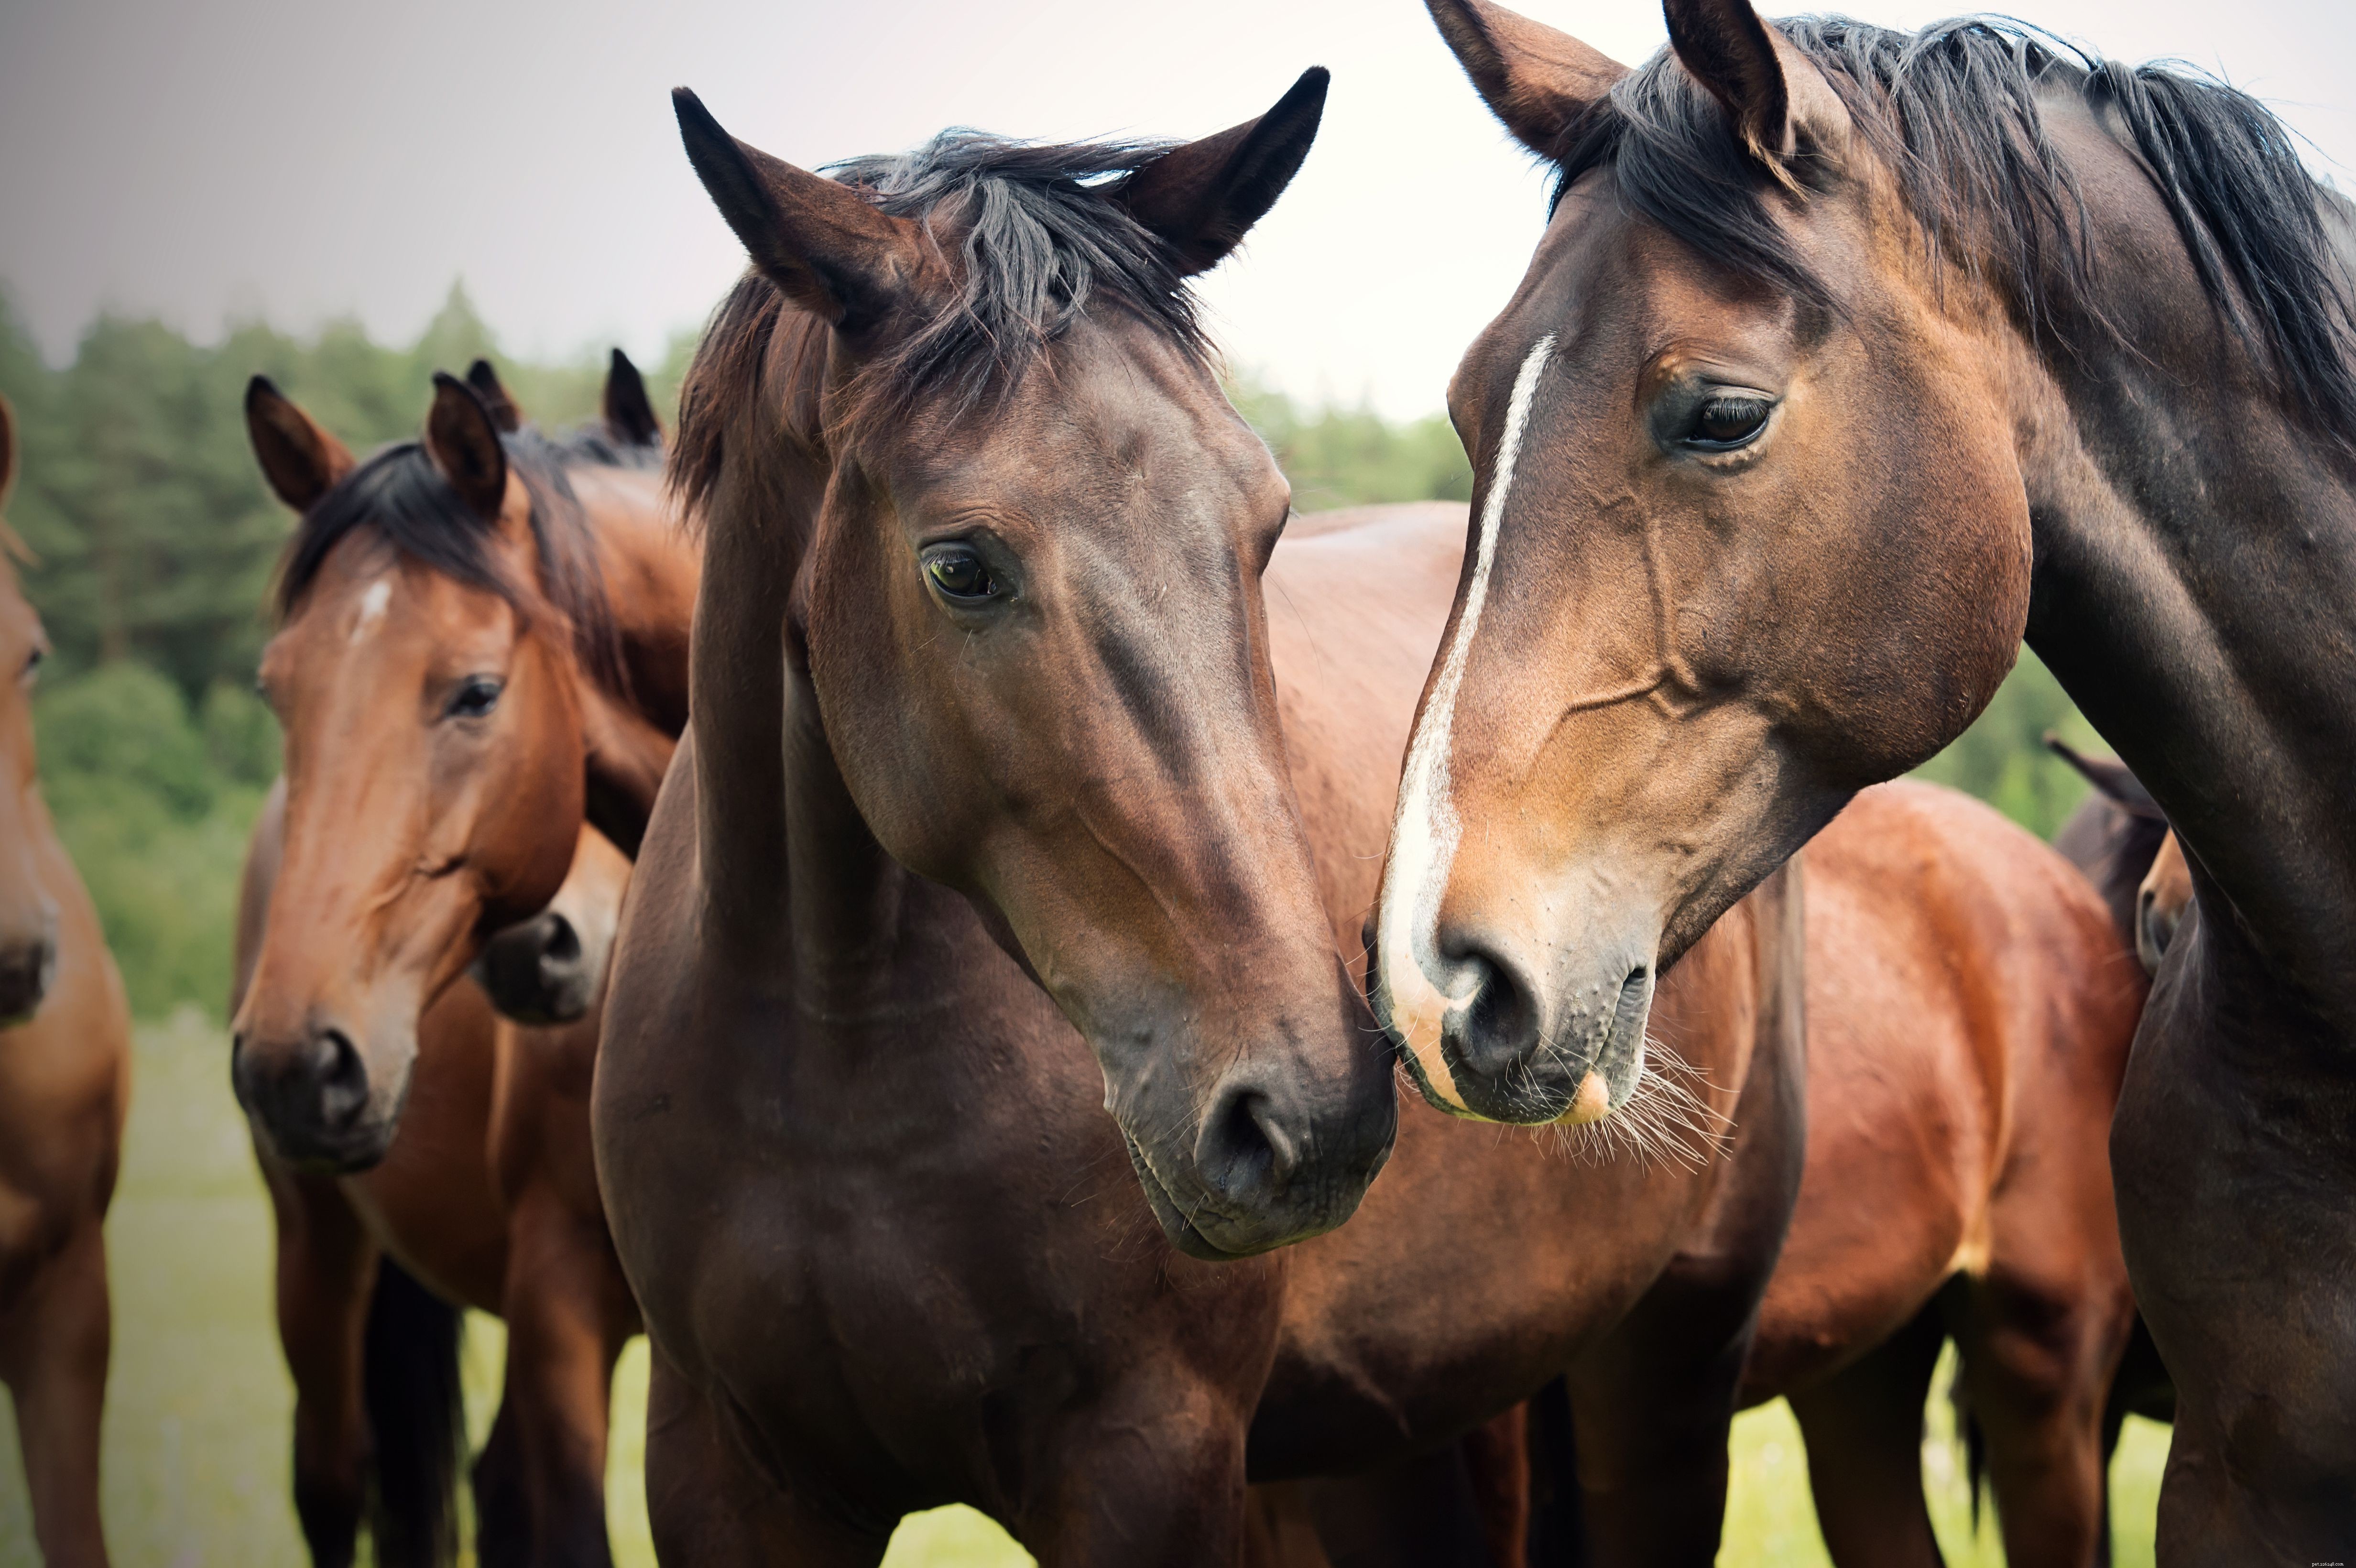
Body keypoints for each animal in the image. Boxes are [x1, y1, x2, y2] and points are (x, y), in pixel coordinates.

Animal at [229, 354, 692, 1567]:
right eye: (277, 691)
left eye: (479, 690)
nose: (296, 1063)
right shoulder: (557, 1300)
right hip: (316, 1249)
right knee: (336, 1481)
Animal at [591, 76, 2133, 1565]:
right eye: (960, 567)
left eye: (1264, 524)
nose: (1307, 1111)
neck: (836, 1056)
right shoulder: (728, 1478)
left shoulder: (1145, 1465)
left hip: (1686, 1366)